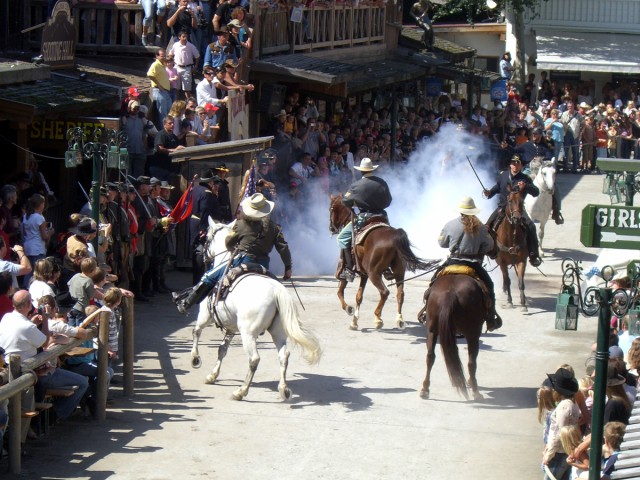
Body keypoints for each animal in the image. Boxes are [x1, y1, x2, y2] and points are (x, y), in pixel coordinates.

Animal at [189, 219, 320, 400]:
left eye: (207, 238)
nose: (201, 255)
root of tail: (276, 290)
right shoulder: (231, 327)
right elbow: (222, 349)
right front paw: (212, 375)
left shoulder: (205, 315)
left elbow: (196, 331)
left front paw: (195, 359)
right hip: (278, 332)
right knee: (283, 356)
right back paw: (283, 389)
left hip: (248, 334)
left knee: (254, 359)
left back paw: (241, 391)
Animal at [328, 193, 438, 332]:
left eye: (331, 208)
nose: (331, 228)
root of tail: (395, 235)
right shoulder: (363, 274)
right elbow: (359, 296)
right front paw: (354, 321)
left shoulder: (346, 270)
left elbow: (340, 291)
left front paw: (349, 310)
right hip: (398, 271)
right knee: (400, 294)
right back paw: (399, 320)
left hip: (374, 274)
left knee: (384, 292)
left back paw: (378, 318)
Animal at [416, 274, 484, 402]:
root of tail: (450, 294)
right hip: (473, 333)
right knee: (471, 362)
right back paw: (475, 391)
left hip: (432, 330)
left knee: (430, 357)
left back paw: (425, 389)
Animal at [496, 186, 528, 314]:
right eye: (509, 201)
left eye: (522, 201)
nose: (517, 219)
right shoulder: (502, 262)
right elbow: (508, 280)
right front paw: (510, 301)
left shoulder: (522, 261)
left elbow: (521, 282)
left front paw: (523, 303)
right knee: (505, 279)